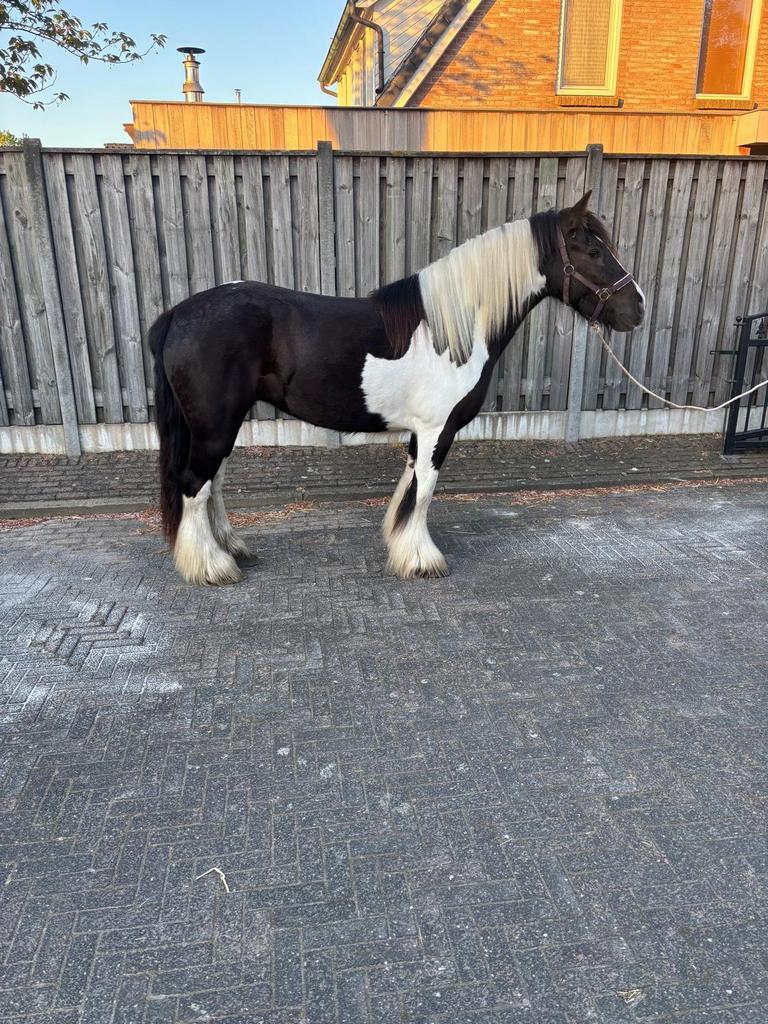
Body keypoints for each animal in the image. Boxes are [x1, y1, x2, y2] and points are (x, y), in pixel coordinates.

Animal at [149, 190, 644, 586]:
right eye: (593, 250)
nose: (637, 308)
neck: (453, 329)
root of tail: (178, 313)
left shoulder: (421, 432)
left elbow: (410, 487)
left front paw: (403, 545)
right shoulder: (438, 430)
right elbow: (424, 490)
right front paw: (423, 560)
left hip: (219, 426)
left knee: (213, 483)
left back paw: (230, 548)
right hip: (214, 427)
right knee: (195, 484)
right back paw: (211, 566)